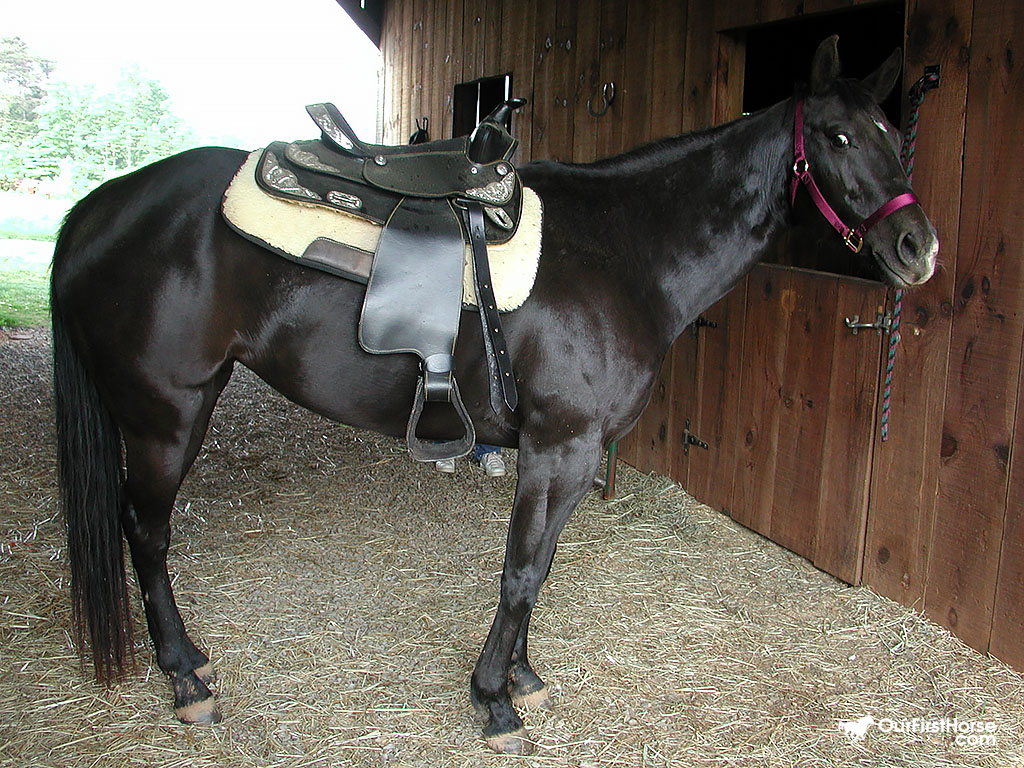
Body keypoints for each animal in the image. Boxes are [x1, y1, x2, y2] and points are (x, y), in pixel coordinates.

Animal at [50, 37, 937, 753]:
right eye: (837, 135)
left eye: (896, 136)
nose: (916, 246)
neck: (623, 251)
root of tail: (101, 206)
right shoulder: (560, 447)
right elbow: (519, 573)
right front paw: (493, 701)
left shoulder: (570, 457)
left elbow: (539, 568)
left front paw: (522, 676)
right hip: (168, 416)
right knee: (146, 533)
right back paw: (184, 679)